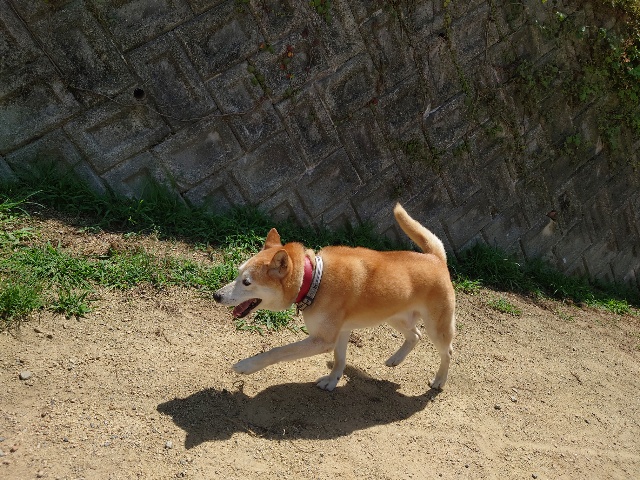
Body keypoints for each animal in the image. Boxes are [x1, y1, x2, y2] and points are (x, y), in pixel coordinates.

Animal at [213, 203, 456, 391]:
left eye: (246, 282)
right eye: (237, 273)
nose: (216, 295)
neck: (314, 280)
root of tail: (435, 258)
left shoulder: (322, 340)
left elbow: (277, 351)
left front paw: (246, 366)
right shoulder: (341, 332)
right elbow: (340, 360)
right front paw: (332, 381)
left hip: (436, 327)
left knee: (447, 352)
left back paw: (440, 380)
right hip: (395, 317)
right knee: (415, 335)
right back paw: (395, 359)